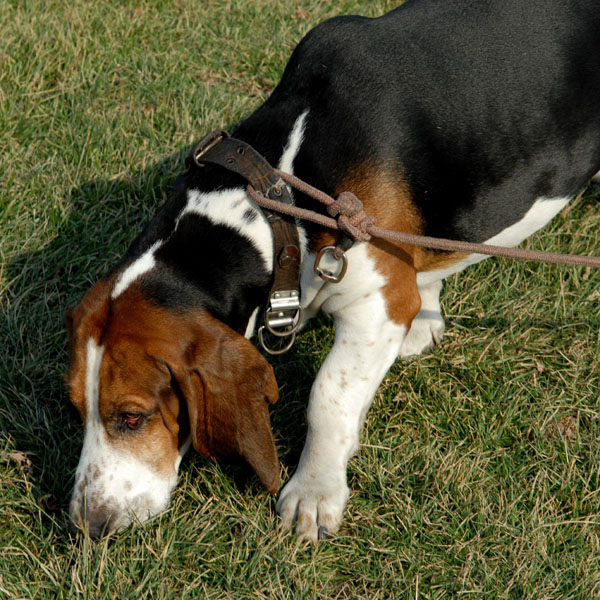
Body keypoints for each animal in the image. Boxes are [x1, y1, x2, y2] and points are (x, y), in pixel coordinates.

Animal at [67, 0, 600, 540]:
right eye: (77, 411)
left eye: (133, 418)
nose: (86, 524)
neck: (277, 192)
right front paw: (426, 314)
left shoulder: (375, 304)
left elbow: (327, 397)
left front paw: (313, 492)